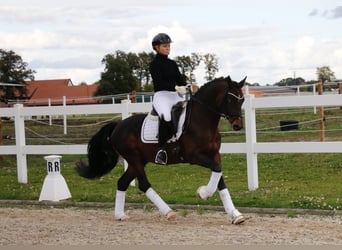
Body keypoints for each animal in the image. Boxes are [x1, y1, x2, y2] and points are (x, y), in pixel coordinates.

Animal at [76, 76, 247, 225]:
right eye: (230, 99)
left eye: (242, 100)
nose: (237, 125)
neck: (202, 121)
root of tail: (118, 126)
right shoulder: (194, 156)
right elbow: (217, 170)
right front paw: (203, 193)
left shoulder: (214, 155)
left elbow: (219, 176)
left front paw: (235, 215)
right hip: (134, 159)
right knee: (143, 185)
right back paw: (169, 212)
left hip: (138, 161)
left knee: (122, 182)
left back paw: (120, 215)